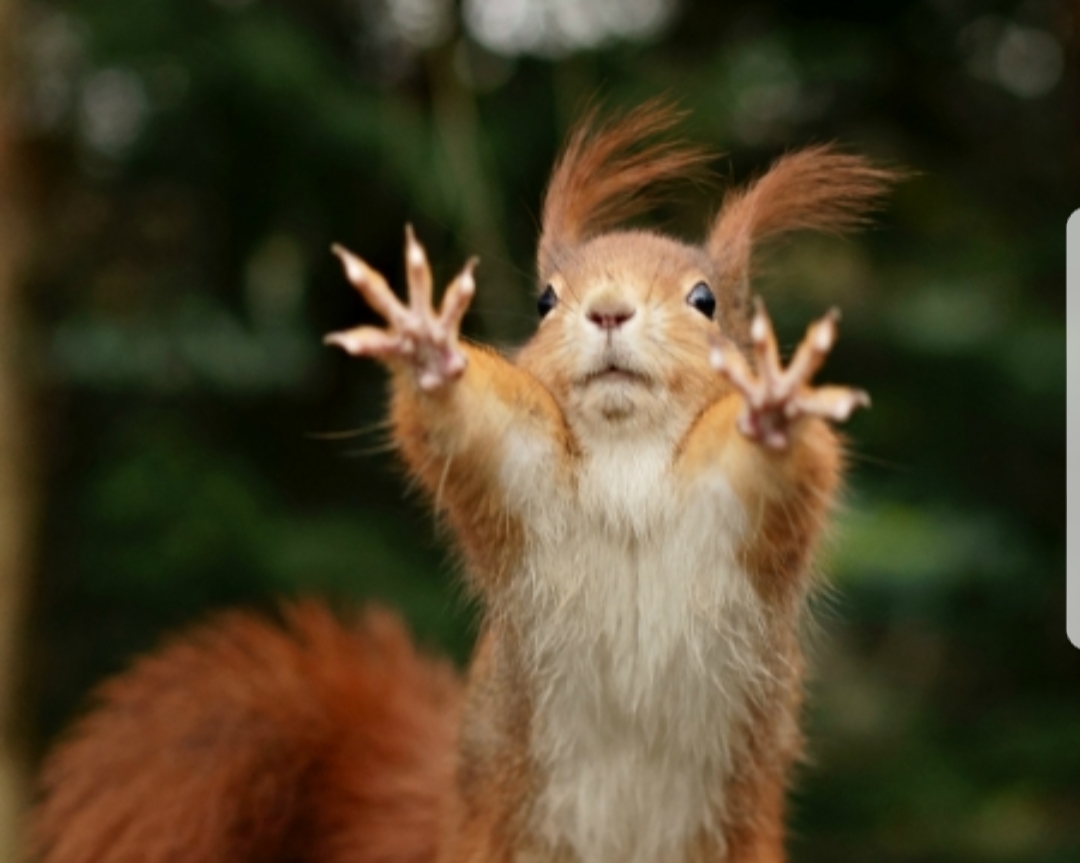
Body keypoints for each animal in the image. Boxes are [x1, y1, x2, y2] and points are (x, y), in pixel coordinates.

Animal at [29, 102, 896, 863]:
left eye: (704, 299)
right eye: (546, 300)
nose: (608, 310)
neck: (628, 460)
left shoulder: (734, 512)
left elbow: (775, 468)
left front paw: (774, 405)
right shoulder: (525, 477)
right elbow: (475, 426)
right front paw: (428, 348)